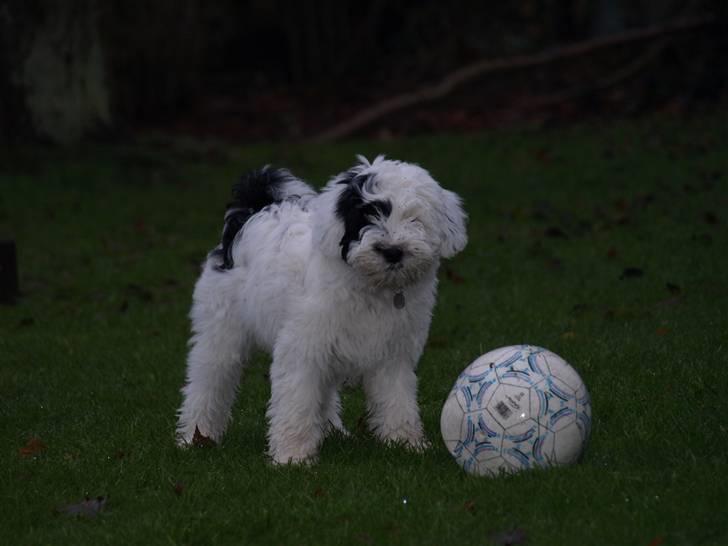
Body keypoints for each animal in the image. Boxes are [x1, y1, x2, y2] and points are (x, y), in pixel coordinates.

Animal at [176, 154, 466, 464]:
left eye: (414, 218)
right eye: (366, 215)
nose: (392, 251)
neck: (371, 285)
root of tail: (252, 213)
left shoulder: (392, 353)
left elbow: (397, 398)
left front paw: (406, 443)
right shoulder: (302, 347)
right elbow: (297, 400)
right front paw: (292, 457)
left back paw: (331, 430)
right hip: (221, 327)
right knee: (209, 378)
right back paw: (195, 435)